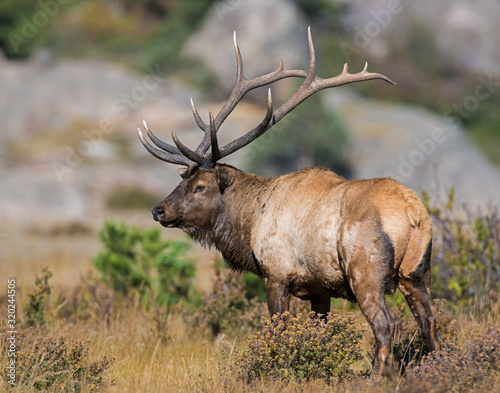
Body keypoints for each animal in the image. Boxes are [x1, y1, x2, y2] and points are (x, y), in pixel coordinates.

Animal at [137, 28, 438, 374]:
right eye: (181, 180)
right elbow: (319, 333)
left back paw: (377, 376)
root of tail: (412, 211)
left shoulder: (277, 274)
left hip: (366, 272)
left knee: (384, 325)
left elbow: (277, 331)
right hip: (417, 271)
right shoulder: (320, 289)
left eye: (200, 186)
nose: (159, 210)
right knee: (428, 320)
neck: (248, 224)